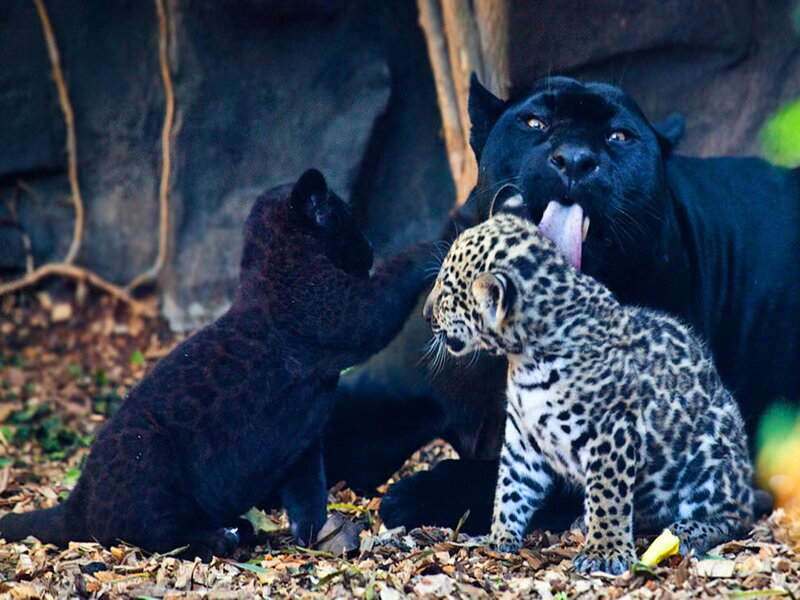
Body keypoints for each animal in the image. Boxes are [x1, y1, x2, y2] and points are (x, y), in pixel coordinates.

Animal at [0, 169, 434, 560]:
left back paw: (239, 527)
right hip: (149, 452)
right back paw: (220, 539)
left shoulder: (302, 443)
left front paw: (314, 533)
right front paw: (433, 248)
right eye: (344, 216)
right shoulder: (346, 312)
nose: (370, 248)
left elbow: (308, 488)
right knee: (155, 535)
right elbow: (389, 280)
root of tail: (77, 502)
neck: (277, 264)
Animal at [424, 209, 755, 574]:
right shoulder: (524, 436)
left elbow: (608, 494)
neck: (526, 359)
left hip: (709, 461)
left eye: (445, 292)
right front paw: (499, 537)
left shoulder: (611, 431)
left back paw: (687, 531)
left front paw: (604, 553)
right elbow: (512, 487)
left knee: (733, 517)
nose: (424, 314)